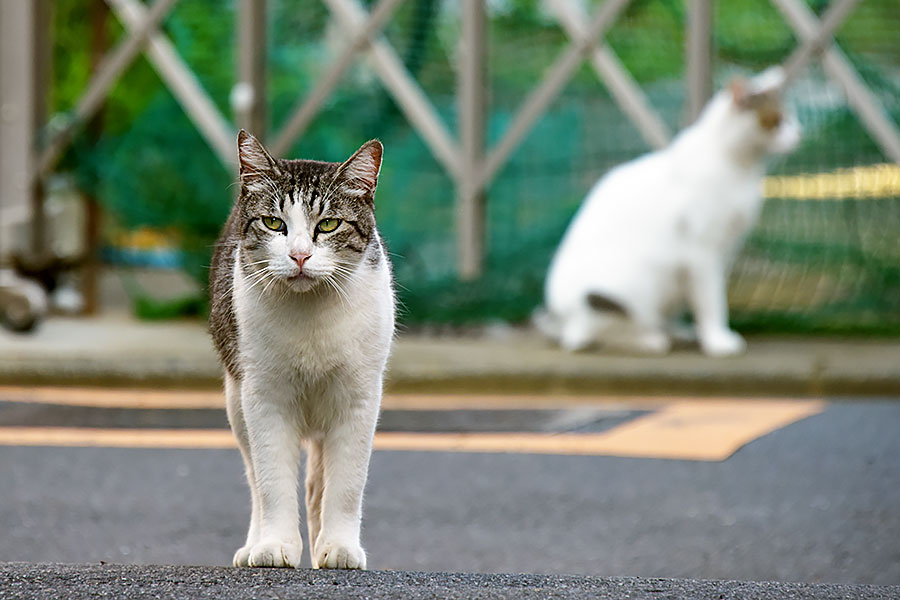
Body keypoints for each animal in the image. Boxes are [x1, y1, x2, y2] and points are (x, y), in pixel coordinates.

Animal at [211, 131, 398, 568]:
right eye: (274, 223)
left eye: (328, 224)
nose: (299, 255)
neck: (311, 313)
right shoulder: (263, 397)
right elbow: (272, 482)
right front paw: (275, 545)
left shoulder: (359, 399)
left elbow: (346, 485)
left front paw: (341, 546)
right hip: (235, 401)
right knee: (255, 478)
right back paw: (254, 544)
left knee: (317, 487)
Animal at [536, 65, 800, 356]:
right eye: (775, 120)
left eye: (791, 118)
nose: (798, 134)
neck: (741, 167)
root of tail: (560, 317)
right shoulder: (702, 251)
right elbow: (711, 299)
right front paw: (717, 340)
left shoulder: (725, 250)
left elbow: (704, 295)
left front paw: (699, 332)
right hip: (629, 285)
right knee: (588, 335)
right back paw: (649, 340)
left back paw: (672, 331)